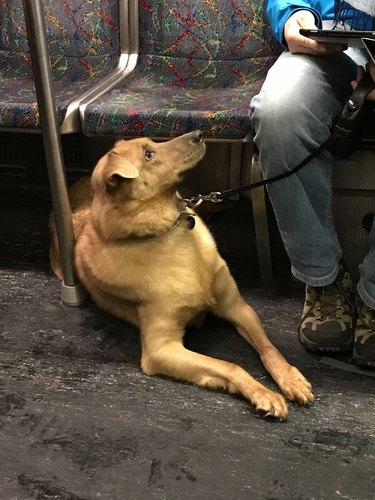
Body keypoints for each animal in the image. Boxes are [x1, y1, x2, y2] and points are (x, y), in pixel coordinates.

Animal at [50, 131, 314, 420]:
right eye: (148, 155)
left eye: (153, 143)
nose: (199, 133)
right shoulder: (161, 349)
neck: (167, 229)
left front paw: (291, 378)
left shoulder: (238, 307)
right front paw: (263, 393)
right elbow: (229, 365)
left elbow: (269, 348)